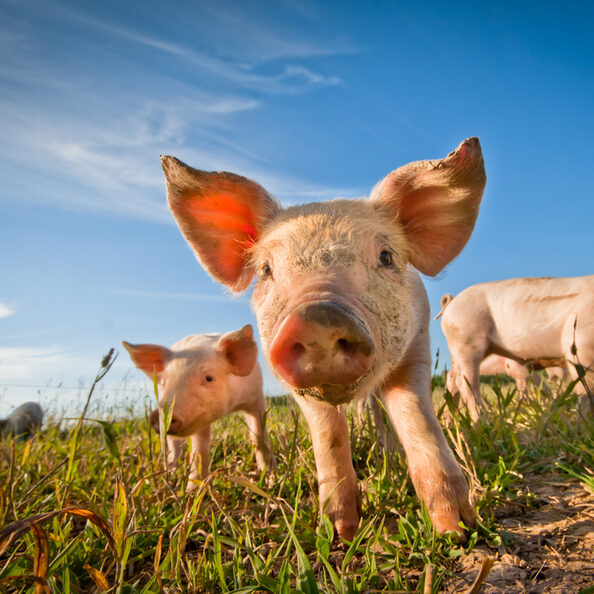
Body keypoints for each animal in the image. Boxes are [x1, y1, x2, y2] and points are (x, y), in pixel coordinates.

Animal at [123, 324, 276, 486]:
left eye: (209, 378)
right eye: (164, 383)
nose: (159, 414)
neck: (230, 406)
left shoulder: (255, 396)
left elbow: (259, 436)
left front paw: (271, 478)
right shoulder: (200, 419)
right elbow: (200, 450)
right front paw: (193, 489)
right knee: (174, 447)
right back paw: (172, 473)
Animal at [160, 136, 484, 540]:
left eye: (386, 256)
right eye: (266, 270)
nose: (317, 317)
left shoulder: (417, 346)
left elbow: (416, 416)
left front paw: (457, 529)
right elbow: (328, 434)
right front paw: (340, 530)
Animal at [434, 278, 592, 420]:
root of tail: (452, 301)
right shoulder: (581, 342)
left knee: (452, 379)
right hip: (466, 342)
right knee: (465, 383)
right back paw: (482, 422)